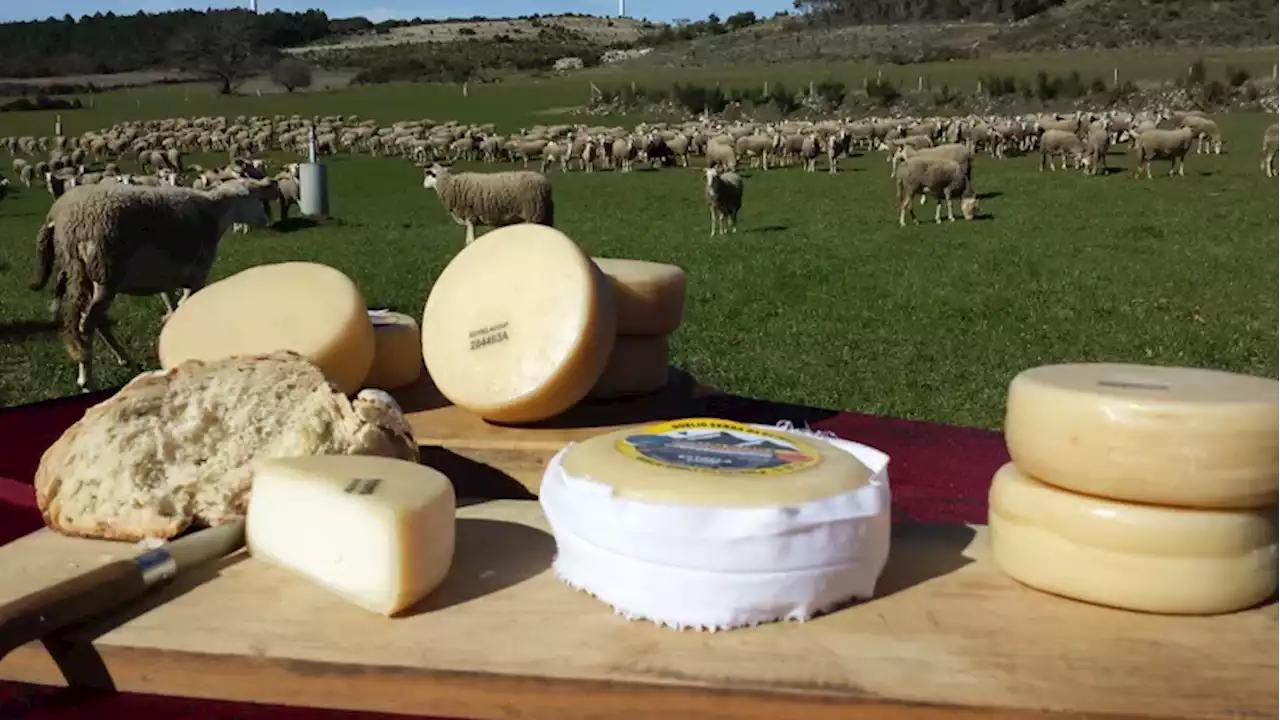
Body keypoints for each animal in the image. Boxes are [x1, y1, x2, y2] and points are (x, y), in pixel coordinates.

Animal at [30, 180, 271, 392]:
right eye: (254, 198)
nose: (265, 219)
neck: (215, 214)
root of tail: (60, 217)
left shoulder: (167, 279)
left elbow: (172, 306)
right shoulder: (197, 275)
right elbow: (185, 305)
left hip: (84, 274)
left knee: (96, 322)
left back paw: (123, 359)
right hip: (104, 272)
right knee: (87, 324)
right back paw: (87, 381)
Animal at [424, 160, 555, 243]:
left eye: (430, 174)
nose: (423, 185)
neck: (448, 185)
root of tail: (546, 183)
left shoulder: (469, 216)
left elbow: (469, 241)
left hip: (533, 213)